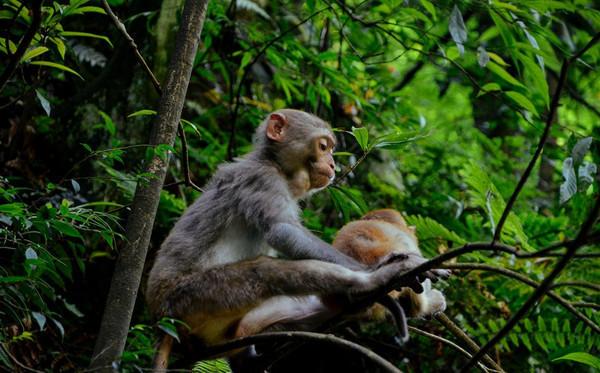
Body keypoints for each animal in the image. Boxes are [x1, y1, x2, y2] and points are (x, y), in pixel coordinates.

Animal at [147, 109, 442, 364]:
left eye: (331, 149)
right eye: (323, 146)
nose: (333, 163)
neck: (274, 164)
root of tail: (161, 320)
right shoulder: (262, 178)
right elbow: (282, 230)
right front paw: (381, 270)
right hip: (190, 298)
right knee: (264, 272)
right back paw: (369, 283)